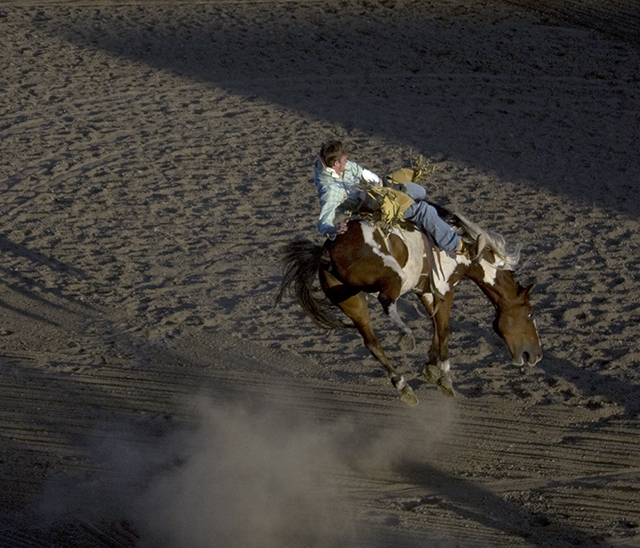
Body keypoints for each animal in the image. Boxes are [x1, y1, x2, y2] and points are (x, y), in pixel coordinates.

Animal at [278, 206, 544, 406]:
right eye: (530, 314)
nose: (536, 356)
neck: (468, 253)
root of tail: (325, 251)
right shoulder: (445, 289)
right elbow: (444, 329)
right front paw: (445, 376)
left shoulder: (426, 290)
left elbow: (435, 325)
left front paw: (430, 367)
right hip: (392, 277)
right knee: (387, 302)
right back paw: (406, 335)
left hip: (350, 300)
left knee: (372, 343)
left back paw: (403, 385)